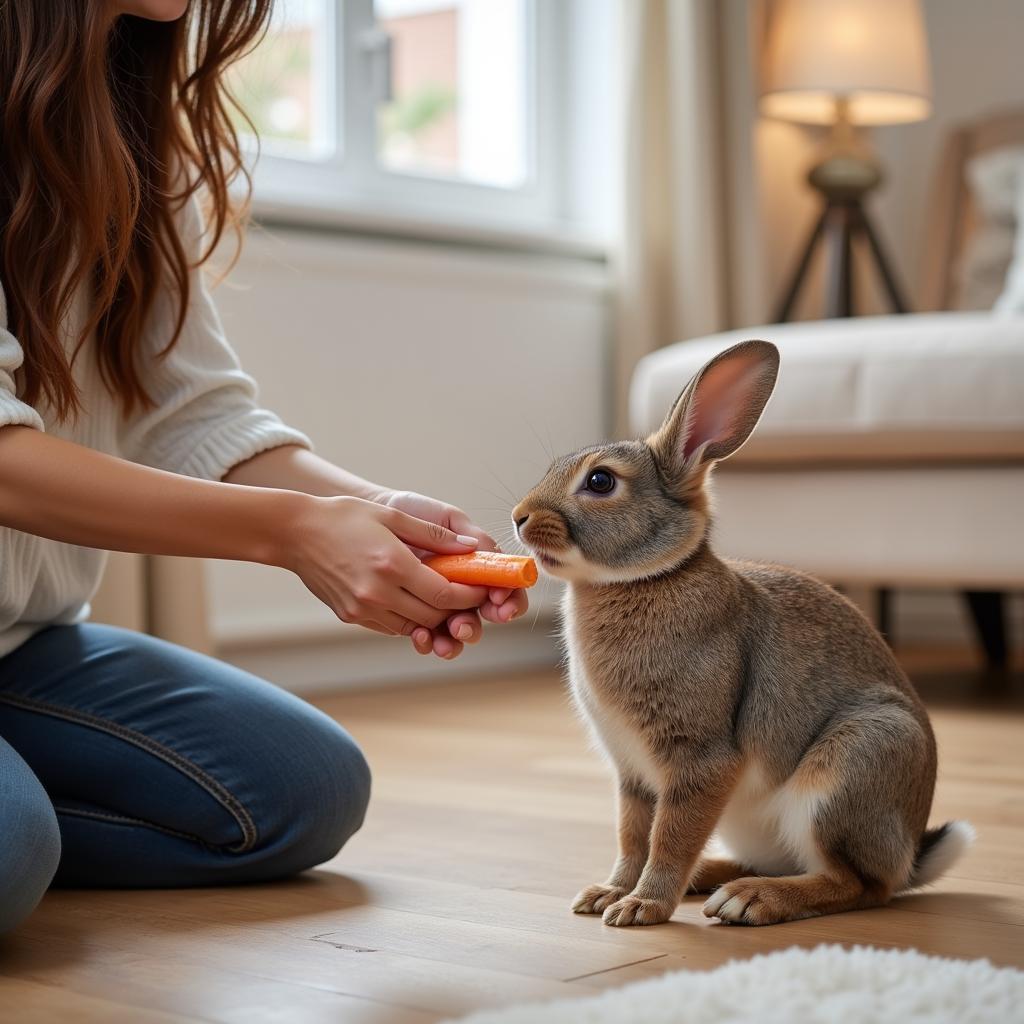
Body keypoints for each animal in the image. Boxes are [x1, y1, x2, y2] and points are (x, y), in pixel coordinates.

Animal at [512, 342, 974, 929]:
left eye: (600, 482)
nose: (520, 517)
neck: (647, 578)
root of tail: (910, 854)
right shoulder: (633, 774)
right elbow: (633, 836)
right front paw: (607, 895)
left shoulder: (701, 759)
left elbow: (669, 836)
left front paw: (641, 906)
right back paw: (713, 880)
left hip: (851, 769)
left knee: (858, 885)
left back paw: (749, 900)